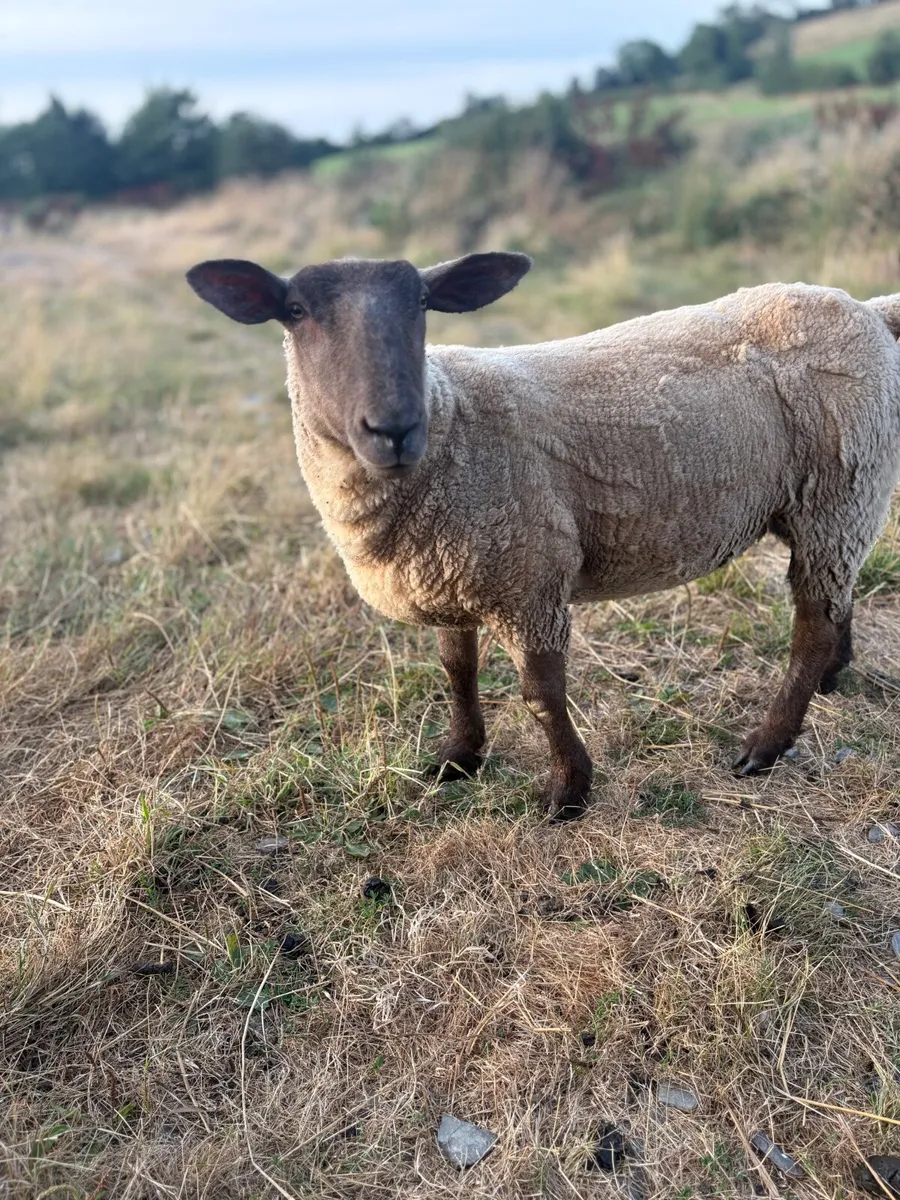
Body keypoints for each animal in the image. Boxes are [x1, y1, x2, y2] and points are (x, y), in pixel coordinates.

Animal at [186, 252, 900, 819]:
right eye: (295, 309)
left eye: (422, 302)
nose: (393, 428)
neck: (451, 423)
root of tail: (866, 308)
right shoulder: (453, 572)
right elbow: (457, 672)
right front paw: (458, 757)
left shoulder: (527, 578)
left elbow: (541, 695)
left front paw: (568, 791)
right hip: (827, 507)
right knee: (833, 602)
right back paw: (832, 678)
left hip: (840, 490)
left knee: (811, 625)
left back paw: (766, 745)